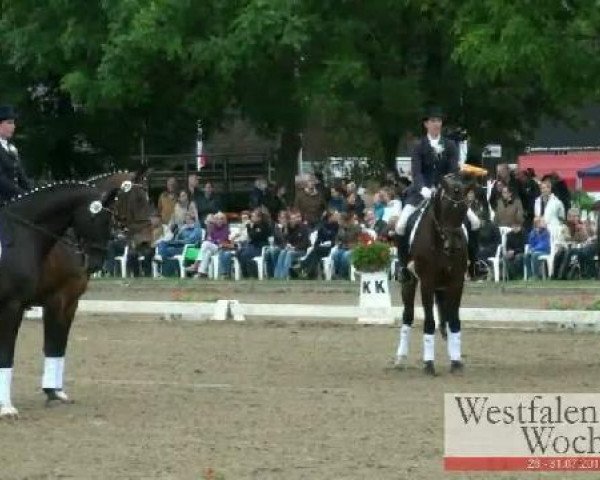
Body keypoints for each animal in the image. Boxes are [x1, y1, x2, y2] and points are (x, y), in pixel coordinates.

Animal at [0, 182, 119, 418]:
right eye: (98, 219)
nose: (96, 262)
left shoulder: (68, 302)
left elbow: (56, 345)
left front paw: (55, 392)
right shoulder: (15, 306)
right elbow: (8, 354)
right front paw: (7, 407)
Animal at [34, 171, 155, 406]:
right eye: (137, 200)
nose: (146, 244)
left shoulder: (71, 302)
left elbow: (60, 343)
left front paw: (57, 391)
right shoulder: (55, 299)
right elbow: (51, 342)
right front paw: (51, 391)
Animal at [396, 172, 472, 376]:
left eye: (464, 208)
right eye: (444, 207)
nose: (452, 247)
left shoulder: (456, 283)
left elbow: (454, 321)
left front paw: (456, 362)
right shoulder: (427, 283)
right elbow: (429, 322)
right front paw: (429, 363)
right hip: (409, 281)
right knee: (408, 316)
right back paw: (400, 359)